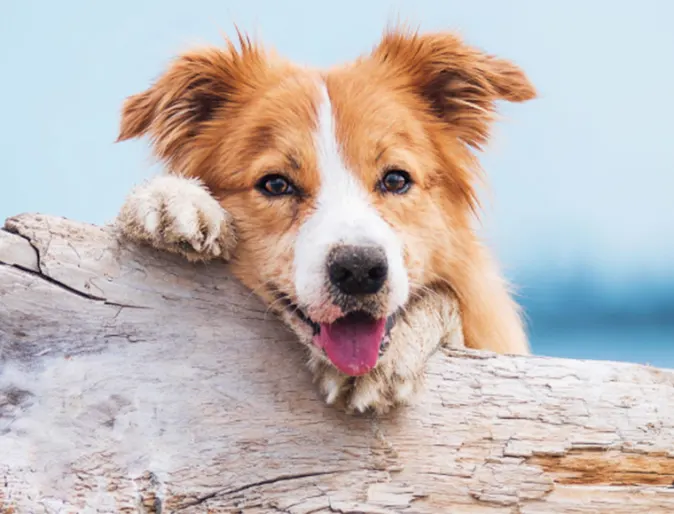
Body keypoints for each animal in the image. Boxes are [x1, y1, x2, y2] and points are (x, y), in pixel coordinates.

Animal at [115, 27, 536, 412]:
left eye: (396, 179)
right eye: (276, 184)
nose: (359, 270)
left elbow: (447, 305)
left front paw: (395, 353)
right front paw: (175, 199)